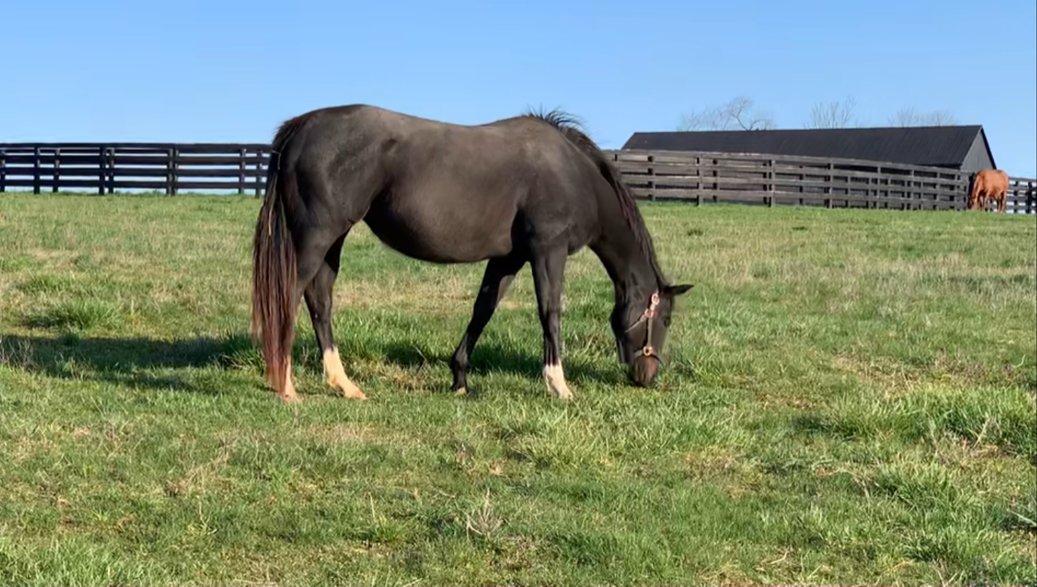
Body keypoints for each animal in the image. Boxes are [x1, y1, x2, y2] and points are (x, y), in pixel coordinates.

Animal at [251, 104, 692, 402]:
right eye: (665, 319)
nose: (647, 376)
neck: (574, 174)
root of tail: (302, 126)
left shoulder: (508, 257)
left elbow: (483, 309)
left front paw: (460, 379)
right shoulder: (547, 251)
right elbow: (550, 312)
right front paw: (559, 384)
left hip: (333, 241)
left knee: (320, 300)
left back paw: (344, 384)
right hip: (316, 237)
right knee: (290, 296)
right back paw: (285, 385)